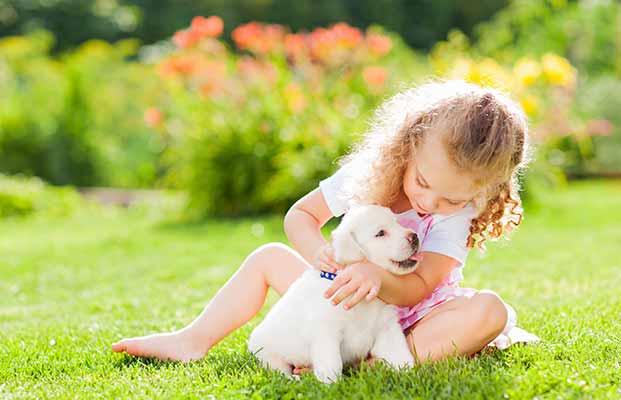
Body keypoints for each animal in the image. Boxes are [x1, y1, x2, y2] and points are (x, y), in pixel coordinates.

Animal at [247, 205, 422, 382]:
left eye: (397, 223)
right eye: (380, 233)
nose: (415, 236)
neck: (361, 297)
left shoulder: (387, 327)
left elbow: (401, 355)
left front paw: (409, 374)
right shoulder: (326, 331)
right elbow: (331, 362)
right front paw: (332, 383)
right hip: (267, 353)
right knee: (277, 370)